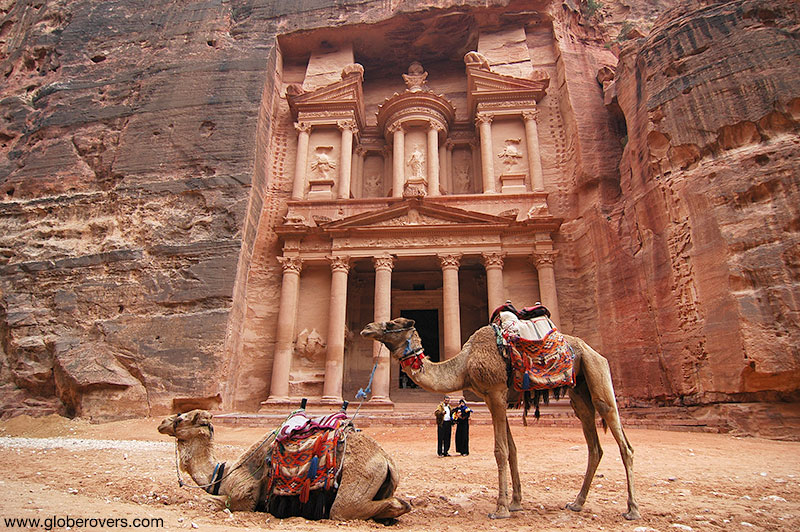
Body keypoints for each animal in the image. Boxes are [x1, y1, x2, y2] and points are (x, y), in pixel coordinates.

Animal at [158, 409, 411, 521]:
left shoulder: (244, 496)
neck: (223, 473)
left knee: (346, 509)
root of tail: (387, 460)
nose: (162, 423)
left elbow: (209, 501)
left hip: (356, 485)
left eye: (180, 419)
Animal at [361, 317, 639, 520]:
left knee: (623, 441)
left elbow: (500, 450)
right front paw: (515, 502)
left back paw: (632, 509)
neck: (464, 364)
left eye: (391, 324)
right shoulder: (494, 398)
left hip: (597, 374)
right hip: (578, 391)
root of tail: (593, 351)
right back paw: (577, 503)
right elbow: (512, 450)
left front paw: (501, 508)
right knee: (594, 446)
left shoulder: (495, 393)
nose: (367, 328)